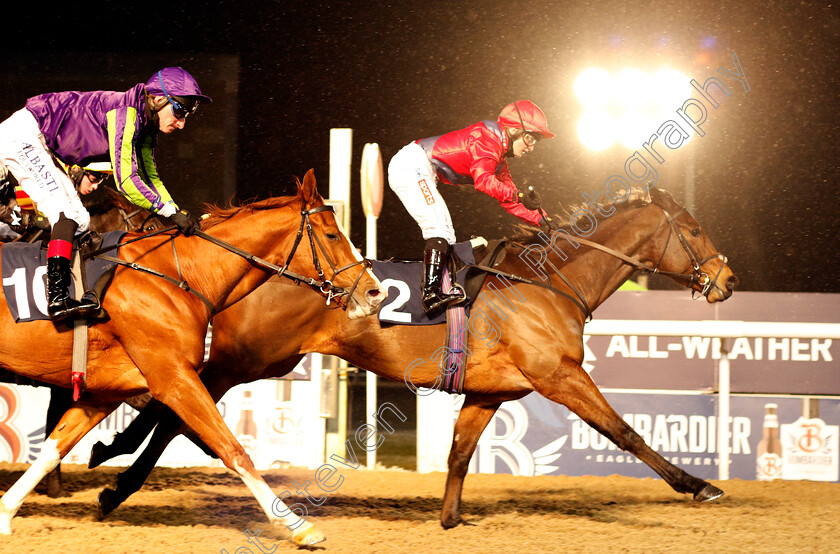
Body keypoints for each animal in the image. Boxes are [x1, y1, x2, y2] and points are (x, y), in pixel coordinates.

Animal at [0, 168, 384, 544]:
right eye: (332, 235)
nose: (375, 292)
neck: (177, 276)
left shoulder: (108, 390)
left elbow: (54, 447)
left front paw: (7, 511)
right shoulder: (174, 378)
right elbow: (232, 448)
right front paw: (297, 525)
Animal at [90, 185, 736, 532]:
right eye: (694, 229)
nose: (727, 281)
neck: (548, 282)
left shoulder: (490, 392)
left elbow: (459, 453)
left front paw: (449, 519)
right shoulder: (559, 376)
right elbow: (624, 432)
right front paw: (698, 485)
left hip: (257, 361)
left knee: (173, 406)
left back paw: (111, 463)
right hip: (248, 359)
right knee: (176, 409)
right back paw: (115, 476)